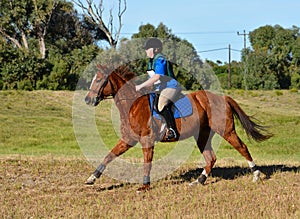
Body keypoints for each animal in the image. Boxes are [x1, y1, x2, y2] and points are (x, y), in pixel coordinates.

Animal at [82, 64, 272, 192]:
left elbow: (147, 163)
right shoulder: (128, 139)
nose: (87, 100)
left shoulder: (146, 140)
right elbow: (109, 156)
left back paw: (256, 175)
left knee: (242, 147)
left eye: (98, 80)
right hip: (202, 135)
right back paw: (198, 181)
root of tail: (223, 97)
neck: (133, 104)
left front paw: (144, 186)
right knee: (211, 158)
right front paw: (91, 178)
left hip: (226, 131)